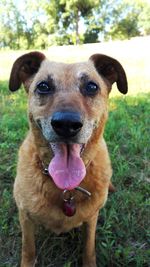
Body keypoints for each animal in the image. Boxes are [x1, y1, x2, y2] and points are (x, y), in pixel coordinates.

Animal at [8, 51, 127, 266]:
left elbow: (89, 249)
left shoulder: (92, 219)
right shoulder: (25, 218)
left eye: (91, 86)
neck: (65, 188)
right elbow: (28, 249)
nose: (66, 124)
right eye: (43, 86)